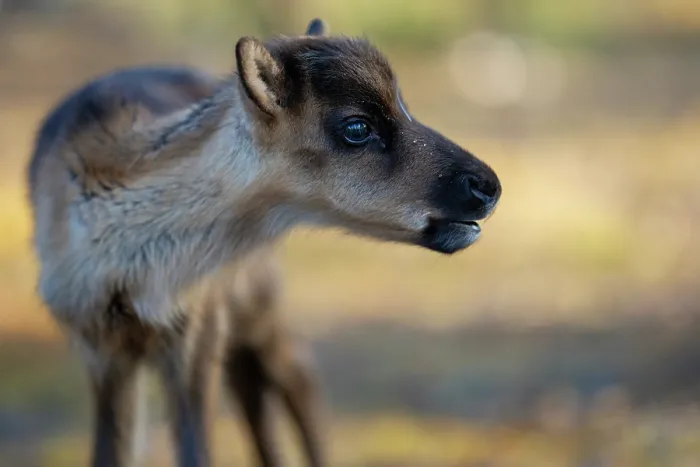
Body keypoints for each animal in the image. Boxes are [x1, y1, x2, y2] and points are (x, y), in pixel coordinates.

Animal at [26, 17, 501, 467]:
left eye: (404, 106)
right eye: (356, 127)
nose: (488, 186)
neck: (129, 276)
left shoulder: (197, 330)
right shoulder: (98, 347)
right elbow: (112, 452)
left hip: (259, 306)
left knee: (302, 382)